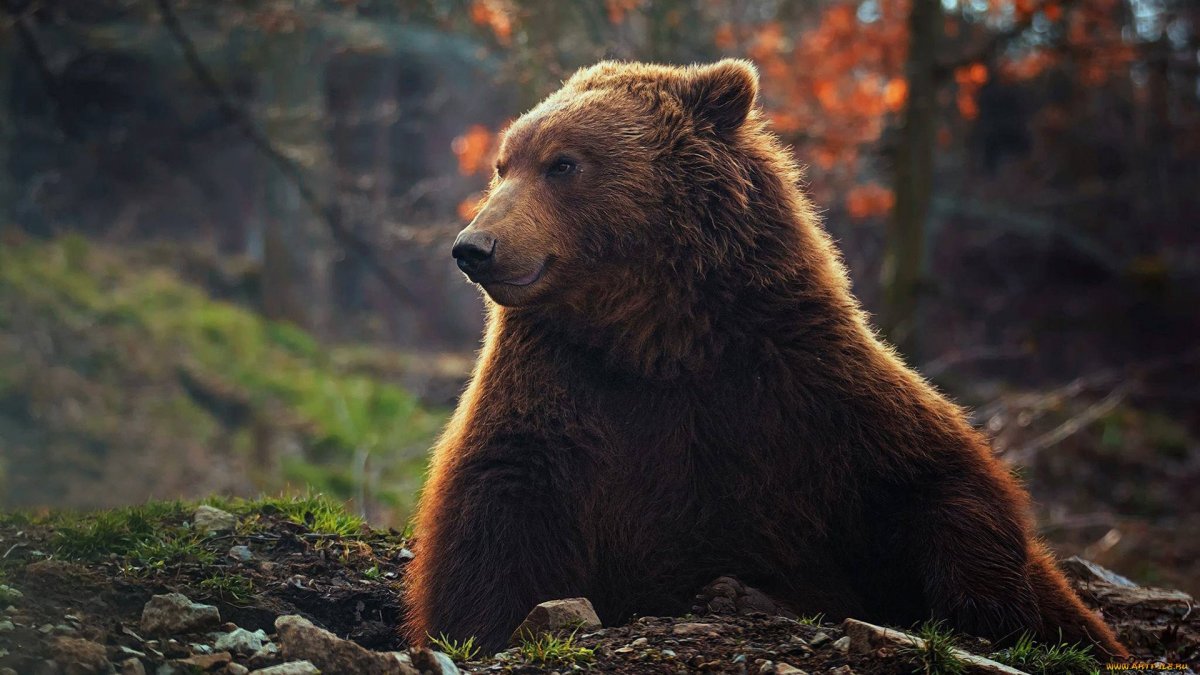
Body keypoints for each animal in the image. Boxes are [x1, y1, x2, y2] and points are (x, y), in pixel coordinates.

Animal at [403, 59, 1128, 658]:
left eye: (563, 163)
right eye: (505, 163)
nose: (474, 246)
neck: (655, 336)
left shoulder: (794, 378)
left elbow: (937, 480)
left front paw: (979, 608)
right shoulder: (560, 390)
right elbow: (493, 520)